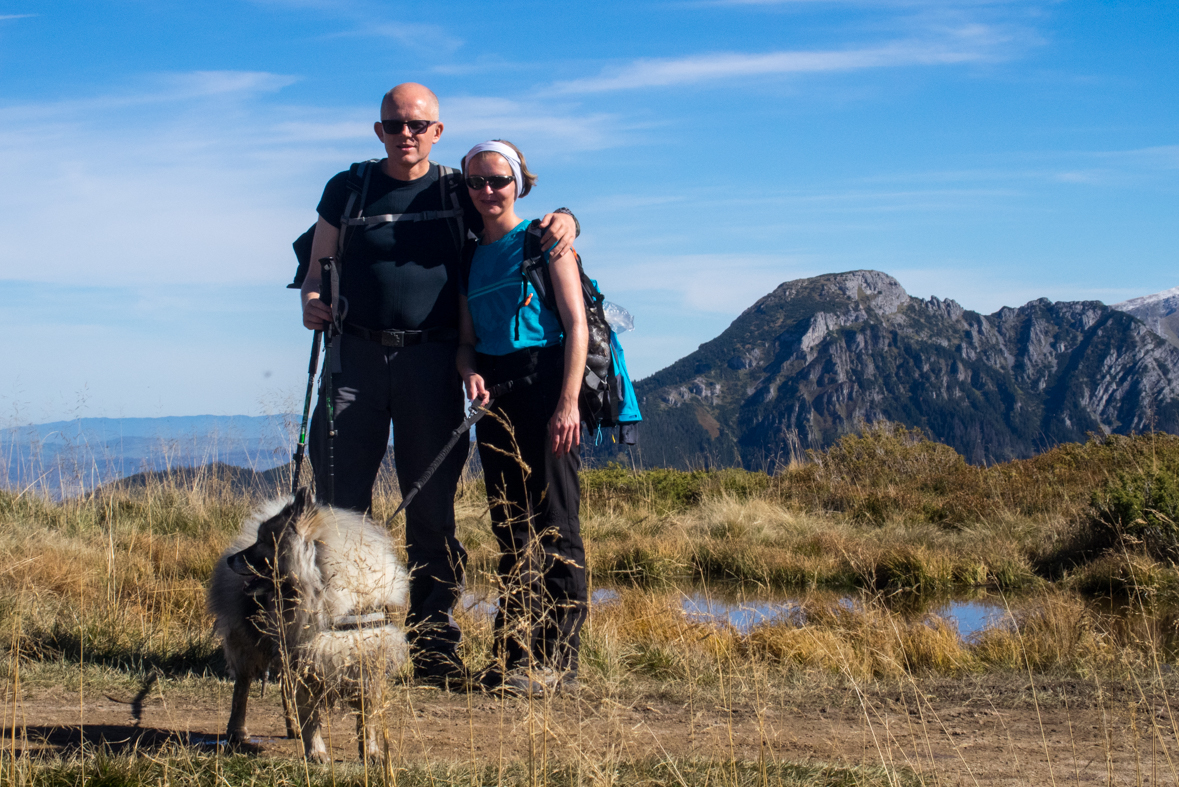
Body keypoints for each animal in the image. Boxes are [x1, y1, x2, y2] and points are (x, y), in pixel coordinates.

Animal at [211, 492, 410, 763]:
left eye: (263, 541)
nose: (231, 559)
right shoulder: (308, 662)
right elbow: (311, 717)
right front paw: (316, 752)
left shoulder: (365, 663)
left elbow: (367, 719)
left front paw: (371, 752)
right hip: (248, 648)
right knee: (241, 690)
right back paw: (237, 733)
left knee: (284, 690)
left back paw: (291, 727)